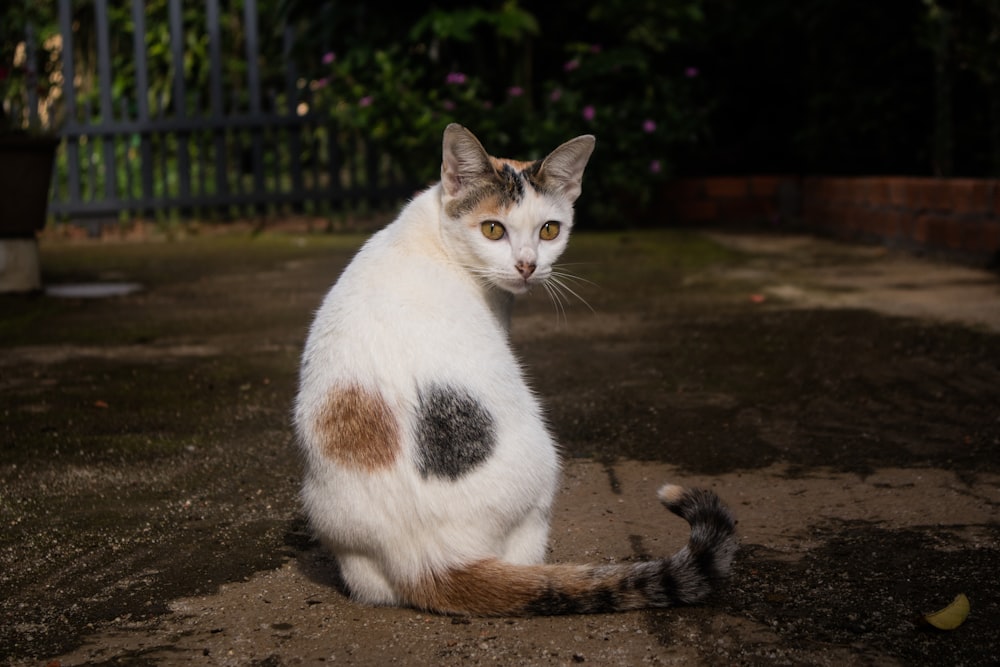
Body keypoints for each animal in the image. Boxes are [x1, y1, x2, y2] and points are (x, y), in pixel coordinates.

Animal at [292, 124, 740, 616]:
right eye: (493, 229)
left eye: (549, 230)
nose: (527, 264)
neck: (438, 232)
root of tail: (429, 559)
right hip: (544, 469)